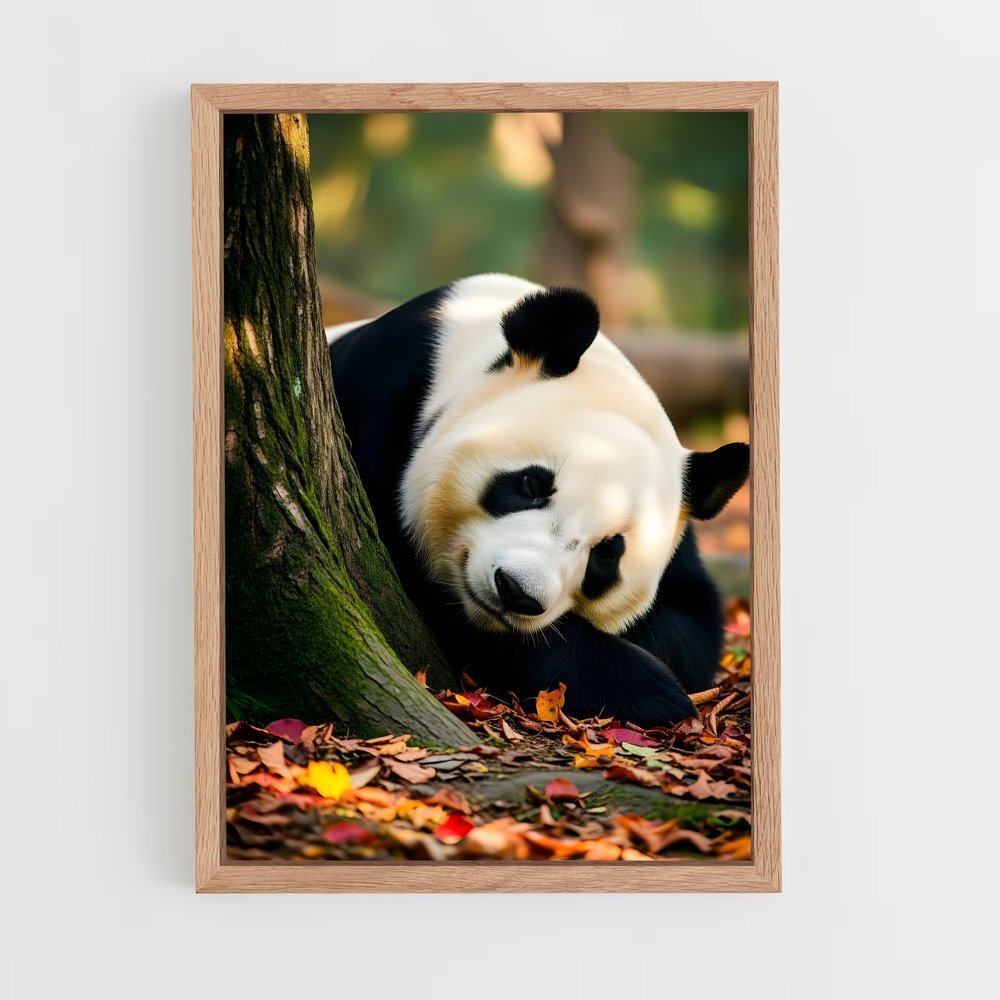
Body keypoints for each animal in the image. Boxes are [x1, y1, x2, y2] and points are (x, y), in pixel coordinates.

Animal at [327, 273, 749, 727]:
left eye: (606, 554)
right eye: (531, 485)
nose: (516, 592)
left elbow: (693, 626)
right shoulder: (379, 403)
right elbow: (415, 586)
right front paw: (645, 689)